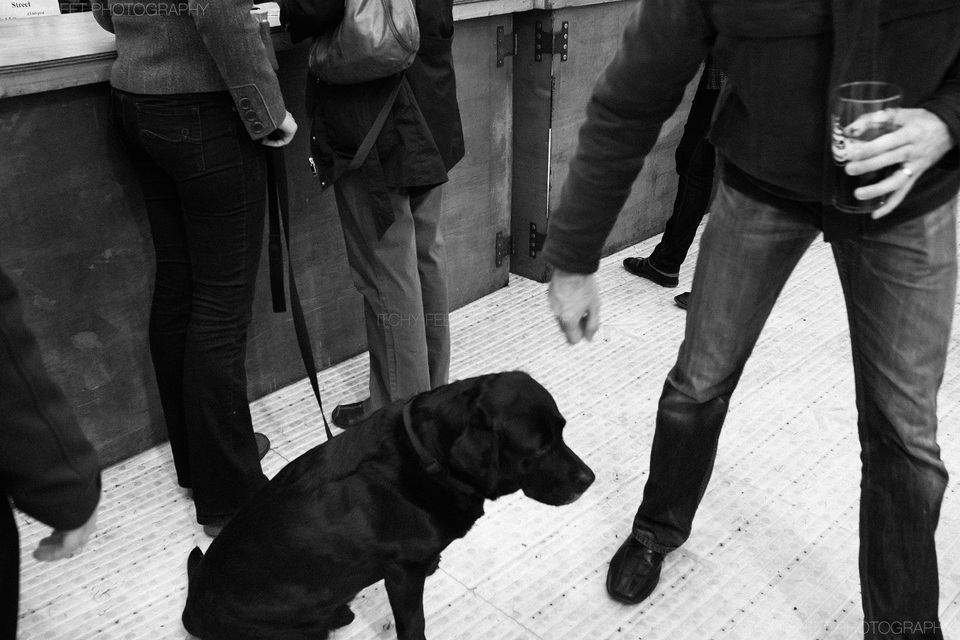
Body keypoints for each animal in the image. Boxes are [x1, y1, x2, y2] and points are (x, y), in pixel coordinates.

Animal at [180, 370, 592, 640]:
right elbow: (414, 625)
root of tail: (191, 610)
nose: (590, 479)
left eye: (563, 430)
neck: (425, 457)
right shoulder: (402, 576)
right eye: (538, 449)